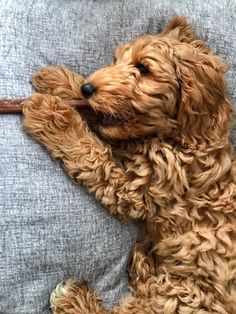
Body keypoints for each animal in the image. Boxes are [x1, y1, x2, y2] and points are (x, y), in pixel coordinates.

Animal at [22, 17, 236, 314]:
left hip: (183, 297)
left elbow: (95, 156)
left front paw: (52, 115)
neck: (180, 138)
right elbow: (101, 120)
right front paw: (61, 81)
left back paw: (72, 297)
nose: (88, 88)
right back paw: (143, 262)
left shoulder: (137, 192)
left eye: (143, 68)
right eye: (116, 60)